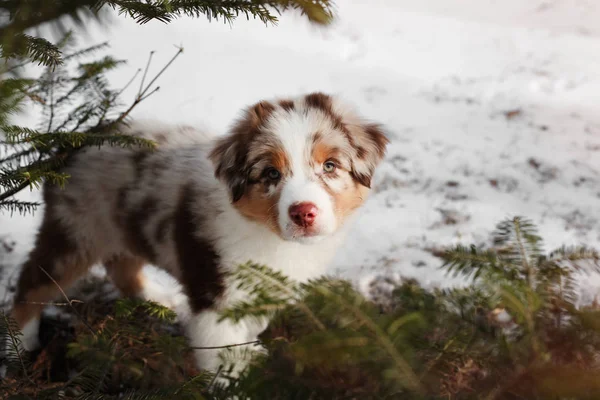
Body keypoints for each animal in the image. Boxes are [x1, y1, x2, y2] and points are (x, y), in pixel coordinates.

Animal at [11, 92, 392, 374]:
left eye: (330, 166)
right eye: (271, 173)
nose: (303, 213)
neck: (268, 236)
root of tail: (72, 142)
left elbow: (250, 326)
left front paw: (250, 350)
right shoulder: (214, 293)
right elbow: (222, 357)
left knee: (121, 266)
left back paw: (158, 299)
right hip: (76, 230)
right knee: (32, 280)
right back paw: (19, 344)